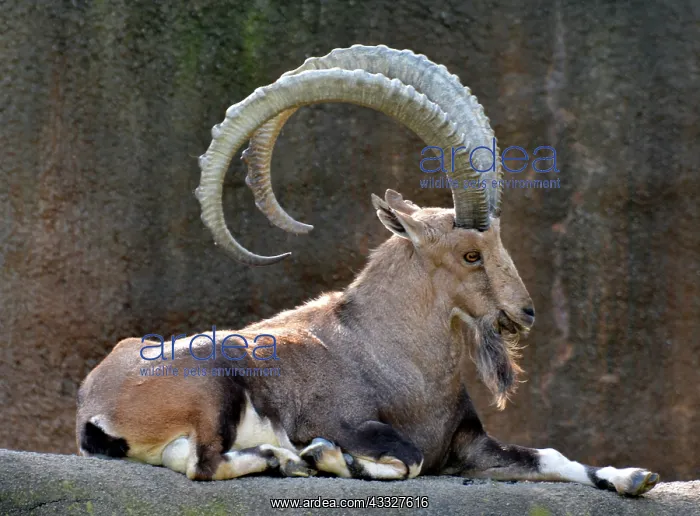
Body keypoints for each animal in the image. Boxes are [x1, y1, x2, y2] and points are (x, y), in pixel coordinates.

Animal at [76, 45, 659, 495]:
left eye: (497, 242)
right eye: (470, 253)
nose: (526, 312)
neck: (390, 353)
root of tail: (94, 407)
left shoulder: (470, 444)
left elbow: (552, 456)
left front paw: (633, 476)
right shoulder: (342, 422)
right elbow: (407, 460)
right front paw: (326, 456)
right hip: (213, 386)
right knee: (202, 463)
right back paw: (287, 460)